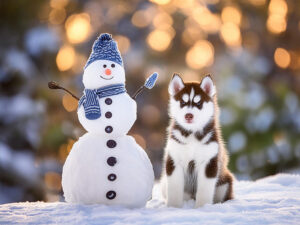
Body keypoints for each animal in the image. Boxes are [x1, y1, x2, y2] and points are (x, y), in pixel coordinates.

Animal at [162, 73, 234, 207]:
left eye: (199, 103)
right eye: (183, 102)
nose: (188, 115)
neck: (191, 134)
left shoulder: (209, 161)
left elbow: (204, 190)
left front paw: (202, 207)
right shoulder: (174, 160)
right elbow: (174, 188)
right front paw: (173, 207)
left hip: (225, 183)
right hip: (164, 183)